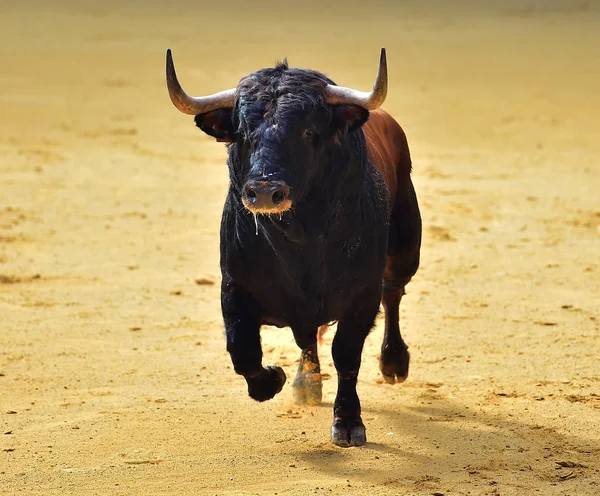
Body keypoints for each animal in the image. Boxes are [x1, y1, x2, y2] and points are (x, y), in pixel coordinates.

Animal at [166, 48, 422, 448]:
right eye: (242, 133)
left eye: (308, 131)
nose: (264, 191)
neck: (299, 243)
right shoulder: (234, 288)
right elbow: (243, 351)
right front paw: (275, 379)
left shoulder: (361, 294)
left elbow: (346, 353)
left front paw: (348, 422)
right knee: (308, 337)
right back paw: (306, 383)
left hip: (405, 247)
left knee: (393, 292)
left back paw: (393, 363)